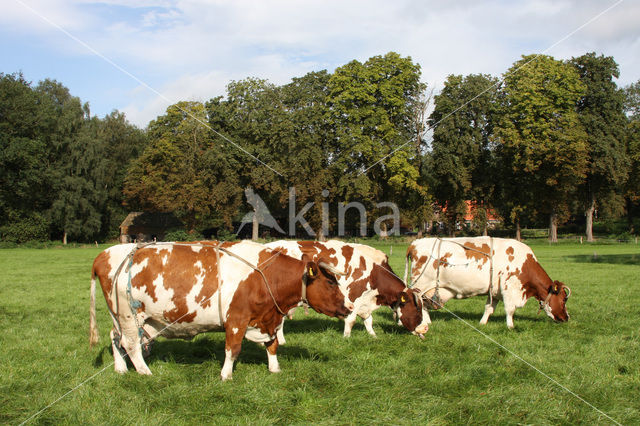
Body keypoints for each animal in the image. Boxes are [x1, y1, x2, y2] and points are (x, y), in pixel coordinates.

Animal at [88, 240, 352, 380]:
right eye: (331, 282)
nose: (348, 307)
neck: (265, 275)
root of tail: (105, 254)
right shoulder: (236, 318)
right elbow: (232, 349)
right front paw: (226, 375)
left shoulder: (269, 318)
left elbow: (273, 344)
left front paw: (275, 368)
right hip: (128, 314)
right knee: (131, 344)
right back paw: (145, 372)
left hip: (123, 317)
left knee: (115, 338)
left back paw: (120, 368)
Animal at [264, 241, 430, 338]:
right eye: (417, 309)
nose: (425, 328)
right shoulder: (353, 298)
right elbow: (350, 320)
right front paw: (346, 337)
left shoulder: (365, 302)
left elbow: (368, 320)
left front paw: (373, 336)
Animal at [404, 236, 568, 330]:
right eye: (563, 300)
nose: (566, 318)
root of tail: (414, 244)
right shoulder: (509, 288)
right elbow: (510, 310)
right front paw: (510, 326)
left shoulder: (494, 291)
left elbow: (489, 308)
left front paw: (482, 323)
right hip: (420, 284)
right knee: (418, 302)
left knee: (424, 303)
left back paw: (427, 321)